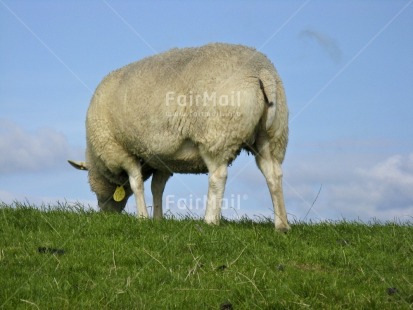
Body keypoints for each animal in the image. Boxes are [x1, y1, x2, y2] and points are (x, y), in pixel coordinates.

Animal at [69, 43, 288, 230]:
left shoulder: (121, 150)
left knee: (218, 176)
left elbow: (136, 183)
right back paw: (281, 225)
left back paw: (210, 220)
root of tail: (261, 71)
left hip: (217, 134)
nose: (106, 215)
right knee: (273, 172)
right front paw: (158, 219)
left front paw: (142, 217)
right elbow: (157, 187)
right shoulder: (163, 159)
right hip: (272, 134)